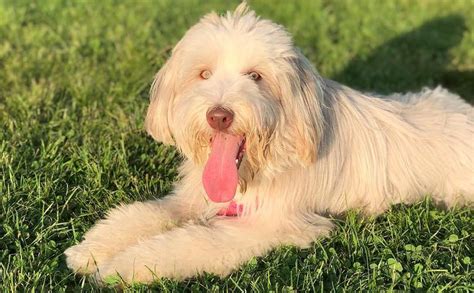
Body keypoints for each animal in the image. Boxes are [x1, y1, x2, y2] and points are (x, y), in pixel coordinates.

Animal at [64, 3, 474, 284]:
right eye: (204, 74)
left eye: (256, 76)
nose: (219, 115)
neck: (262, 163)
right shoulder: (192, 200)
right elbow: (143, 214)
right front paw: (93, 249)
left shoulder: (268, 226)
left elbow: (191, 243)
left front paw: (124, 266)